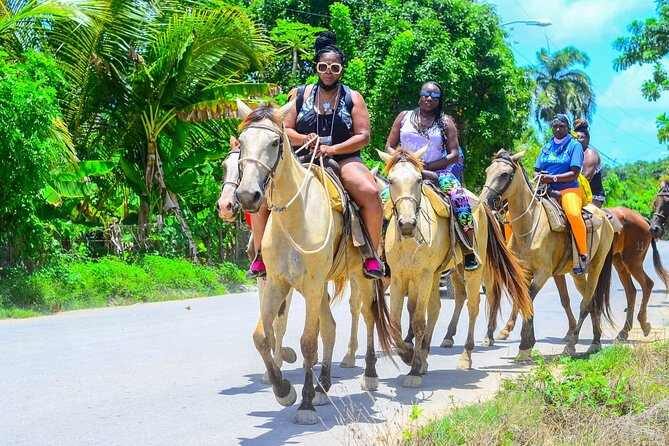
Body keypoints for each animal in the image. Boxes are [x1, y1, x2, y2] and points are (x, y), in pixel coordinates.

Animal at [235, 100, 394, 426]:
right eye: (241, 142)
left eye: (275, 142)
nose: (246, 195)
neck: (297, 216)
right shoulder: (277, 283)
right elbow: (261, 336)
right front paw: (283, 390)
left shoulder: (310, 285)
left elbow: (309, 342)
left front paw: (305, 404)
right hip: (321, 287)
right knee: (330, 327)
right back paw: (323, 386)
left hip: (359, 278)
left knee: (368, 317)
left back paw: (369, 375)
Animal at [378, 149, 528, 384]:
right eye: (391, 181)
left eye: (419, 179)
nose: (407, 224)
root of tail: (482, 204)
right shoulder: (398, 277)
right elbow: (395, 322)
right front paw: (409, 355)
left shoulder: (422, 276)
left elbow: (418, 320)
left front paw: (413, 370)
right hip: (438, 272)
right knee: (436, 308)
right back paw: (425, 356)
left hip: (472, 271)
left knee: (473, 306)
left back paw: (465, 357)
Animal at [480, 151, 616, 358]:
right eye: (488, 171)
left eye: (504, 174)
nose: (483, 202)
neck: (529, 226)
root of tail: (604, 217)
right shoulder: (524, 271)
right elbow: (524, 299)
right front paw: (527, 343)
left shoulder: (543, 273)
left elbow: (528, 297)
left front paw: (525, 344)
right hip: (576, 273)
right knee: (591, 301)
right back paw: (596, 341)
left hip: (596, 266)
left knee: (586, 303)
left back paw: (572, 345)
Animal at [500, 206, 668, 342]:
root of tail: (643, 219)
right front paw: (505, 329)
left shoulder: (552, 272)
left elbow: (564, 299)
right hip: (618, 261)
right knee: (631, 291)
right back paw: (624, 331)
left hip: (632, 260)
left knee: (647, 284)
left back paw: (643, 324)